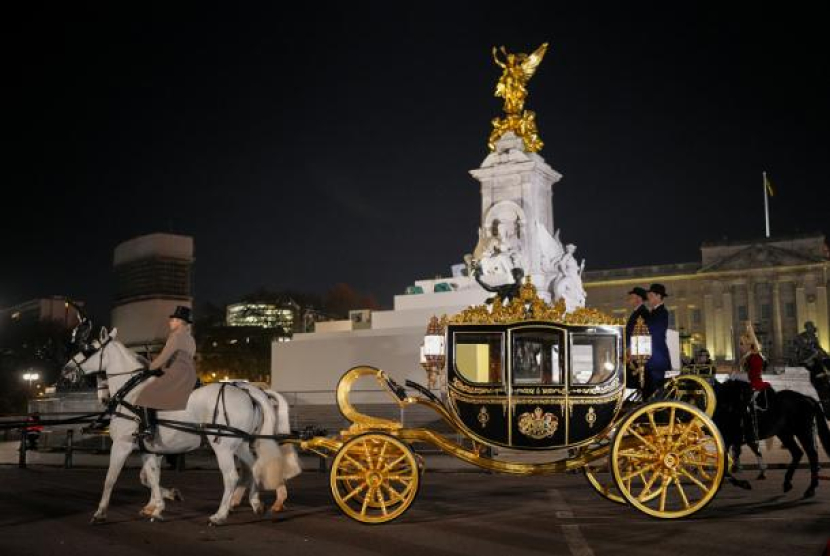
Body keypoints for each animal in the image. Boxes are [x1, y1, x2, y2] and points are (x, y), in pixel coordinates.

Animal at [70, 328, 294, 528]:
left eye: (89, 348)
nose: (67, 369)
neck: (132, 395)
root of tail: (247, 391)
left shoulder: (122, 444)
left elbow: (111, 479)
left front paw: (100, 513)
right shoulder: (148, 448)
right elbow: (150, 476)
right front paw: (160, 505)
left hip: (223, 447)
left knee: (232, 477)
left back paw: (220, 515)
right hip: (240, 445)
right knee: (253, 467)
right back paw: (255, 503)